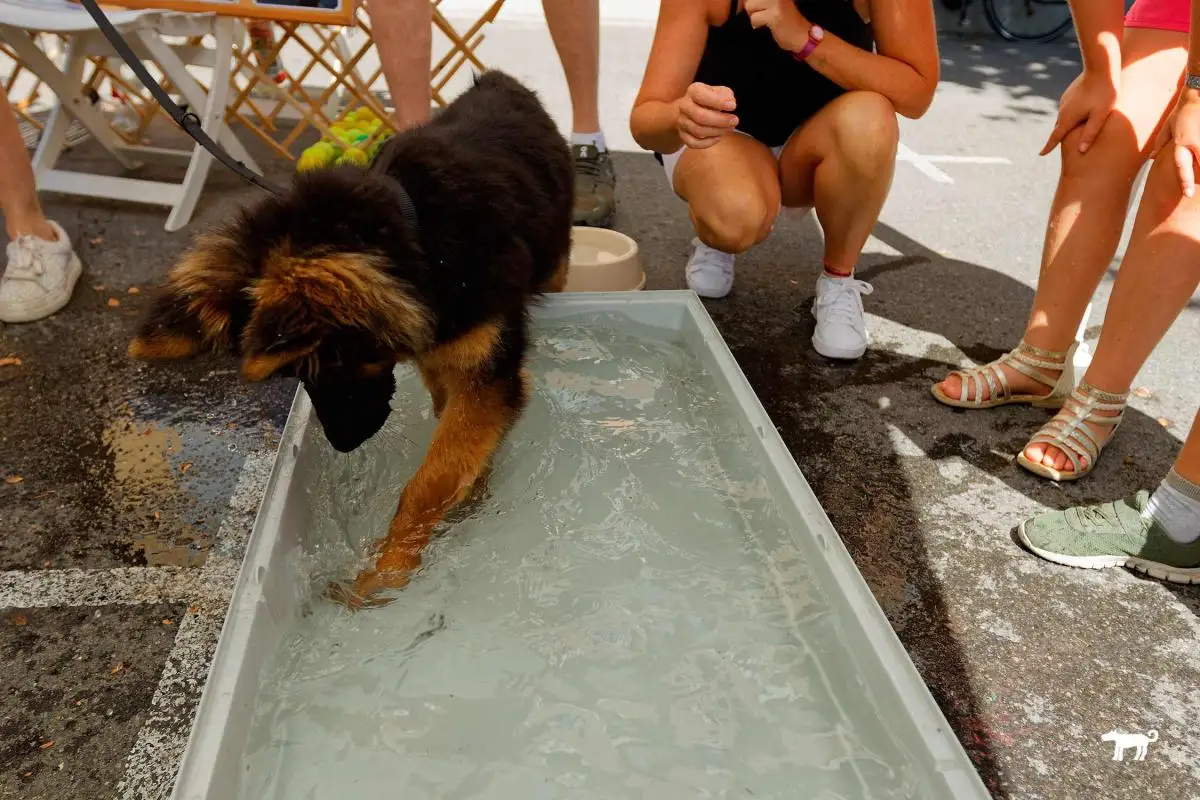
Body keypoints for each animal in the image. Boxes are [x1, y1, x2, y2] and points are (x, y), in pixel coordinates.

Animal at [127, 70, 575, 606]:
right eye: (300, 373)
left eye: (333, 359)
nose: (342, 445)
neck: (419, 234)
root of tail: (498, 79)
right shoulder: (438, 356)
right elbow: (455, 442)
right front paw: (470, 492)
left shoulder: (485, 371)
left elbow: (430, 481)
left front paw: (387, 571)